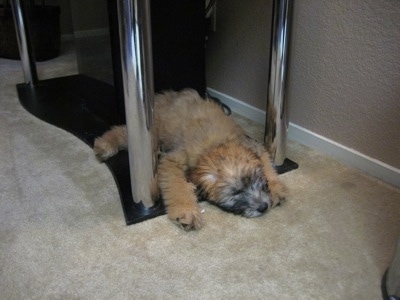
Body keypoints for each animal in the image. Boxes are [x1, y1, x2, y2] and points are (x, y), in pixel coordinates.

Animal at [94, 89, 288, 230]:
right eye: (236, 193)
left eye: (259, 181)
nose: (263, 207)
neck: (215, 146)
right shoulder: (173, 162)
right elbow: (178, 188)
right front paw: (186, 212)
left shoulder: (253, 146)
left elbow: (268, 165)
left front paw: (276, 188)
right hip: (151, 134)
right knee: (122, 132)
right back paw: (104, 145)